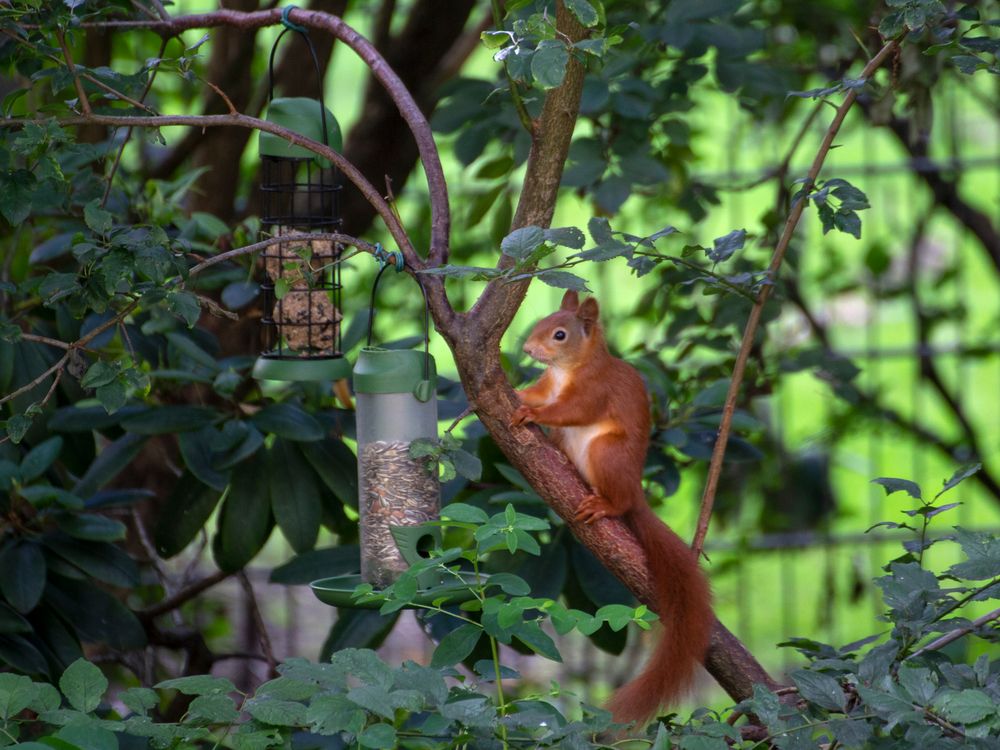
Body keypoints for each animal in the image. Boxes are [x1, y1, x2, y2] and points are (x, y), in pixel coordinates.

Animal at [512, 290, 716, 724]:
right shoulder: (547, 384)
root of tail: (635, 491)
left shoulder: (595, 391)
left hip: (607, 454)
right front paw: (518, 398)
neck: (568, 370)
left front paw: (532, 413)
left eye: (559, 334)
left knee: (618, 499)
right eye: (541, 320)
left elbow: (571, 410)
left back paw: (604, 506)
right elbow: (536, 394)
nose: (527, 349)